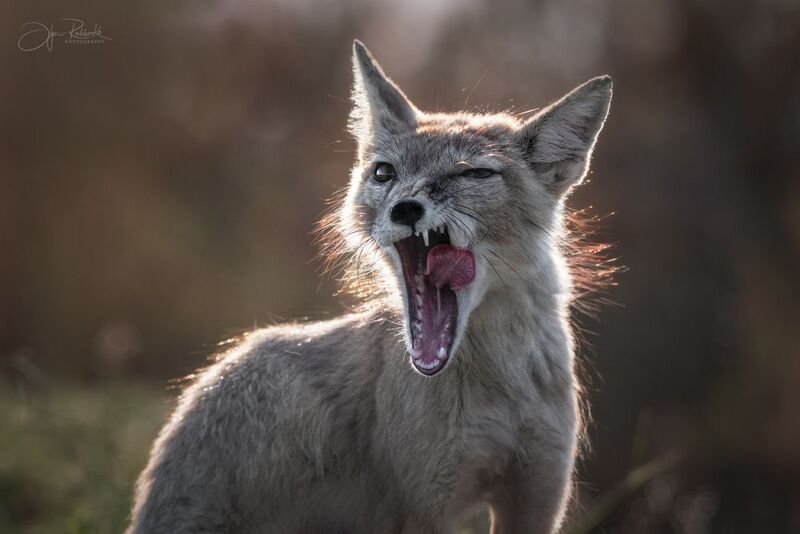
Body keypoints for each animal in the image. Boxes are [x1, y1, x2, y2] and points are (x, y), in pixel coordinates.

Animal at [128, 40, 613, 534]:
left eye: (474, 175)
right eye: (384, 174)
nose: (405, 208)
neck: (501, 383)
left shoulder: (537, 497)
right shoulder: (425, 507)